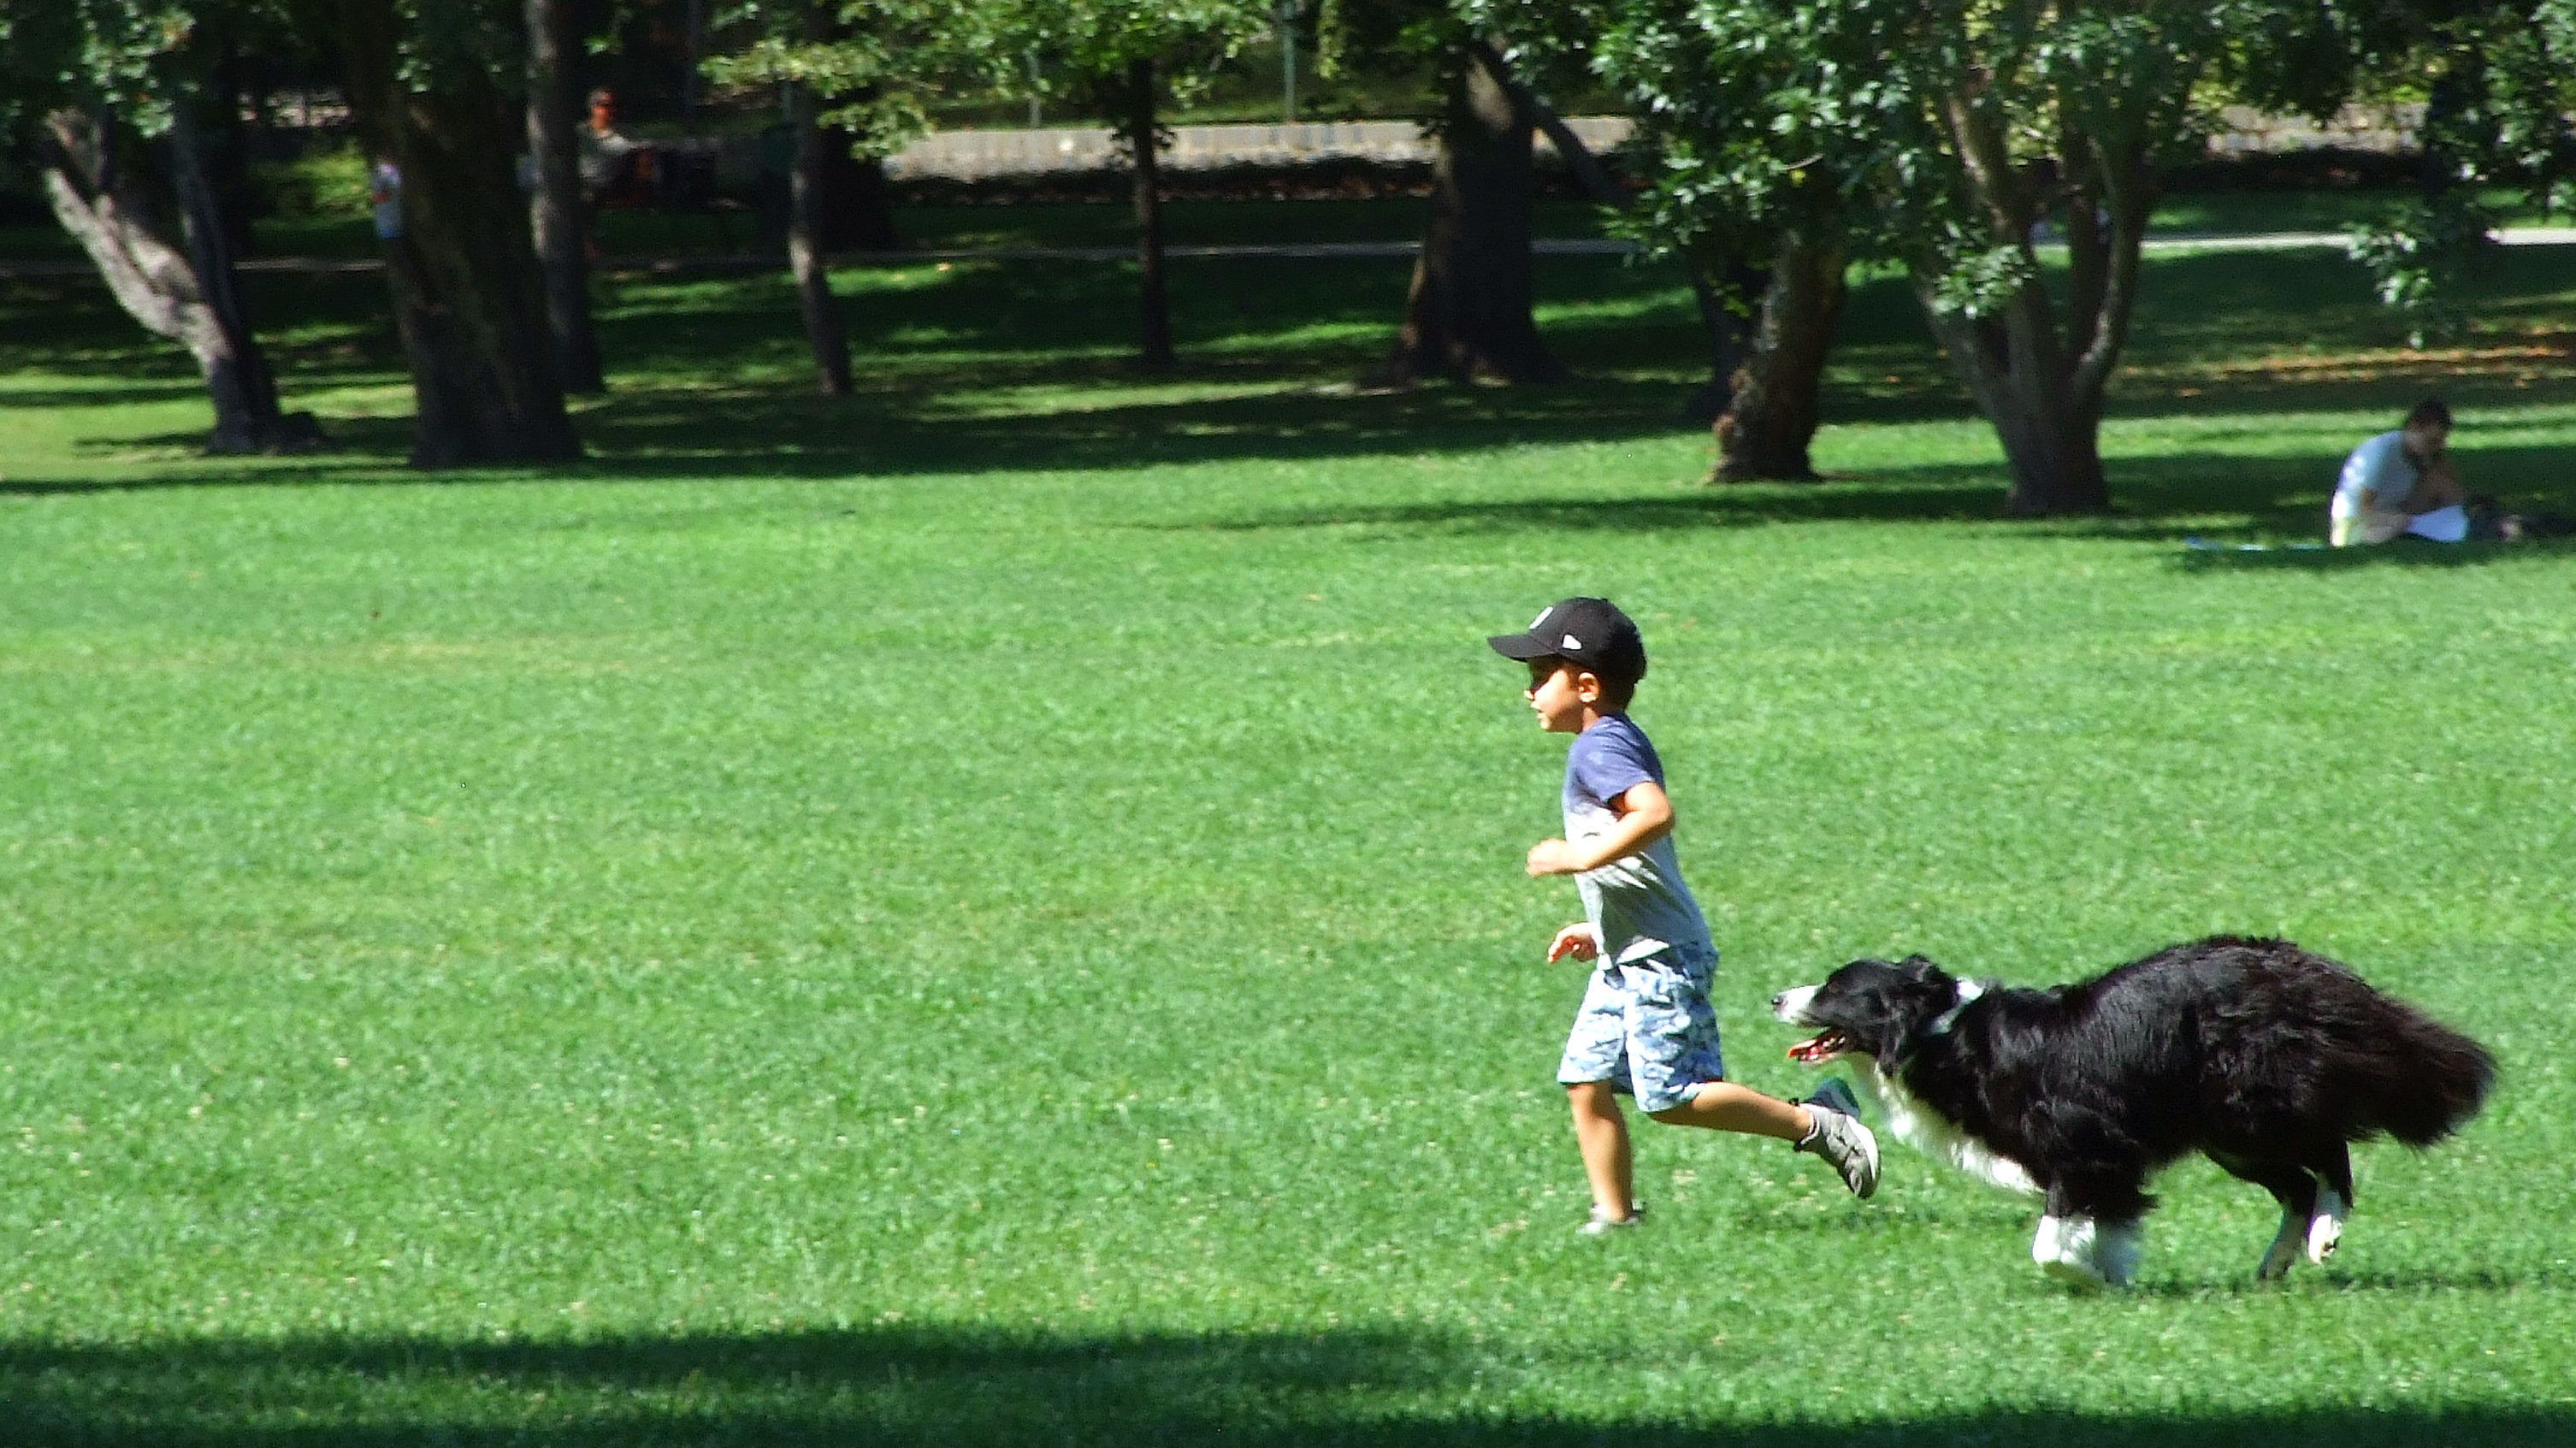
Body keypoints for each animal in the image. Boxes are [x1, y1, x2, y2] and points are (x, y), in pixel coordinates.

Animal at [1772, 937, 2493, 1283]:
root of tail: (2304, 967)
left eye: (1834, 989)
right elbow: (2102, 1225)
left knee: (2330, 1152)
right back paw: (2274, 1262)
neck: (1938, 1032)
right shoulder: (2100, 1165)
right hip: (2228, 1134)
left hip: (2250, 1103)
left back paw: (2325, 1233)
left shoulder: (2087, 1149)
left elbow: (2049, 1242)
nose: (1776, 995)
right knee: (2295, 1182)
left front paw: (2090, 1277)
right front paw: (2112, 1274)